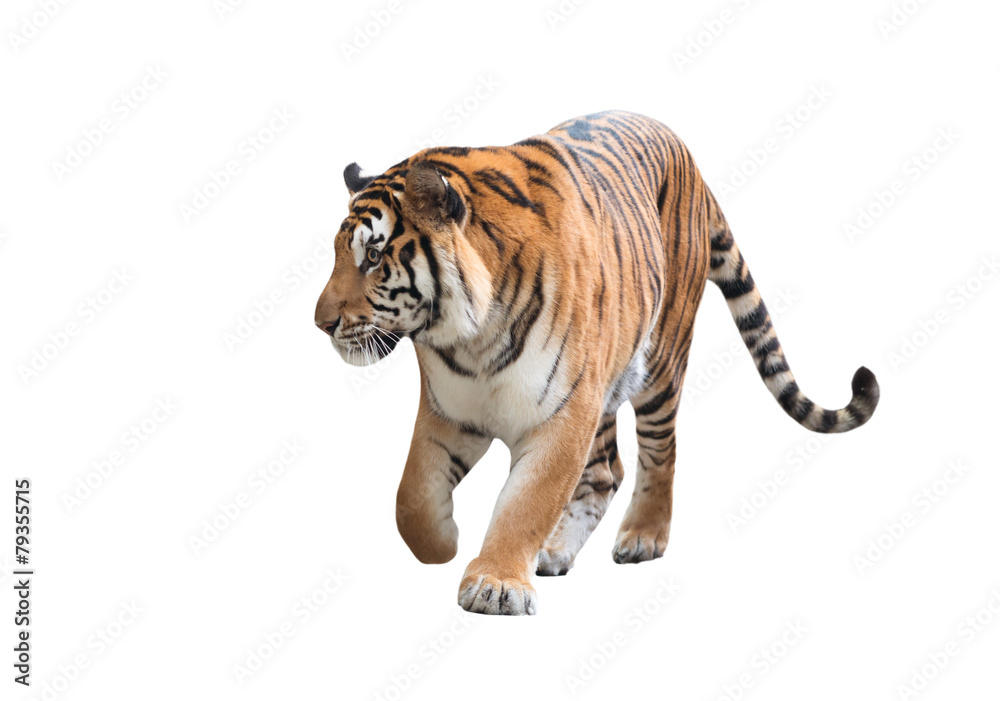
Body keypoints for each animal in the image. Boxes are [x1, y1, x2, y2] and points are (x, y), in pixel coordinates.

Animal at [314, 110, 879, 616]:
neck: (468, 338)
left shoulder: (562, 414)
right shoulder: (449, 410)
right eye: (339, 253)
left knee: (660, 453)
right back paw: (555, 551)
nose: (320, 323)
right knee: (606, 471)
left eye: (373, 256)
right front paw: (447, 542)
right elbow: (410, 498)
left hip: (658, 365)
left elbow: (526, 502)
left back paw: (643, 537)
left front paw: (496, 585)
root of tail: (689, 157)